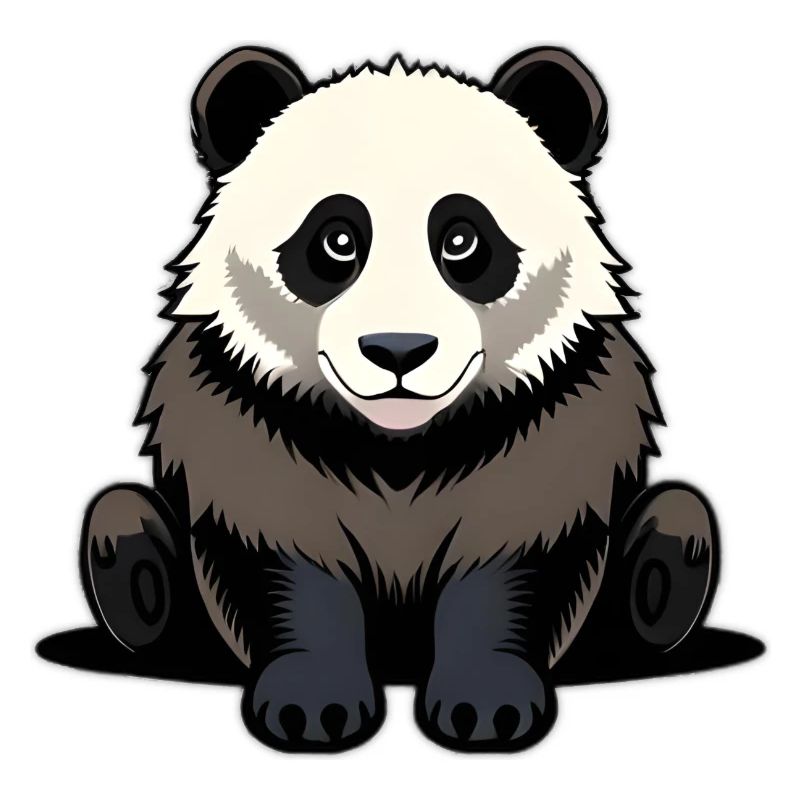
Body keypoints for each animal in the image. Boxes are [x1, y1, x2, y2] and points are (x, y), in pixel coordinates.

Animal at [79, 46, 719, 753]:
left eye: (463, 240)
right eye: (336, 240)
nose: (398, 351)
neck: (399, 443)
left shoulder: (554, 427)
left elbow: (513, 561)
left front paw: (486, 705)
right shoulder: (245, 424)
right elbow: (283, 561)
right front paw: (312, 705)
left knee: (678, 522)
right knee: (121, 520)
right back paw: (135, 588)